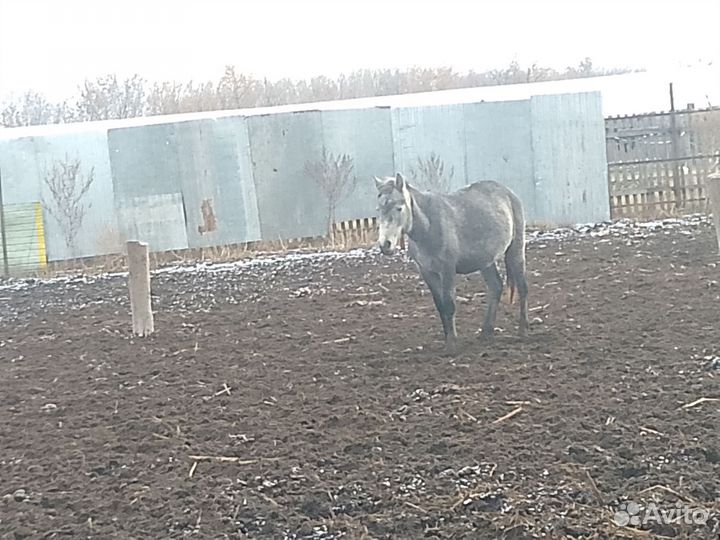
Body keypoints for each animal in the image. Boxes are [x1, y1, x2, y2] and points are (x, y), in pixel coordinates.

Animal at [373, 172, 529, 356]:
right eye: (379, 210)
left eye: (399, 208)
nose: (385, 245)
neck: (428, 227)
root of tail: (508, 193)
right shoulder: (427, 272)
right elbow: (440, 306)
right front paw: (447, 340)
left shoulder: (447, 270)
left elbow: (449, 304)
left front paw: (452, 345)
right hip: (485, 261)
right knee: (496, 287)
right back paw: (486, 333)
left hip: (515, 250)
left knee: (522, 288)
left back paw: (522, 330)